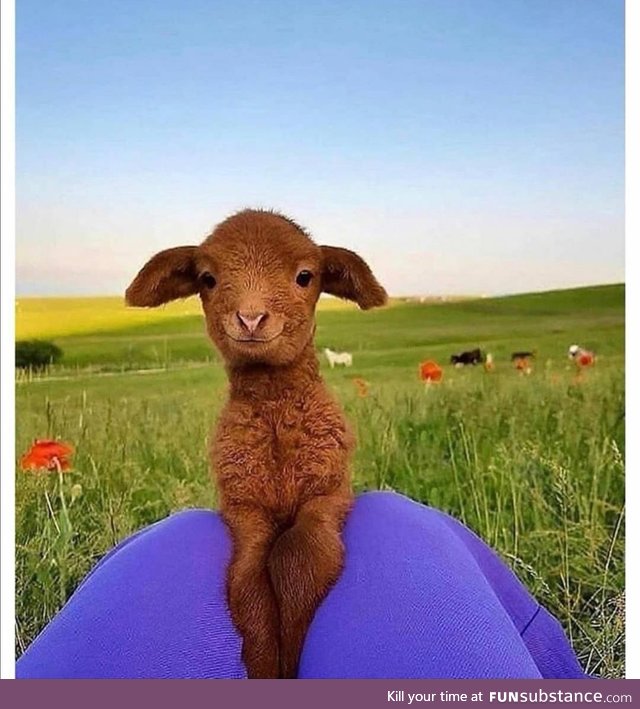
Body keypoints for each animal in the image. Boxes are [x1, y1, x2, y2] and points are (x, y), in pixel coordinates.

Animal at [123, 207, 388, 676]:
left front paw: (295, 653)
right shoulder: (243, 508)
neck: (276, 420)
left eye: (305, 276)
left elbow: (299, 557)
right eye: (207, 279)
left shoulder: (329, 494)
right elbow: (246, 580)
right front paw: (265, 663)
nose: (250, 318)